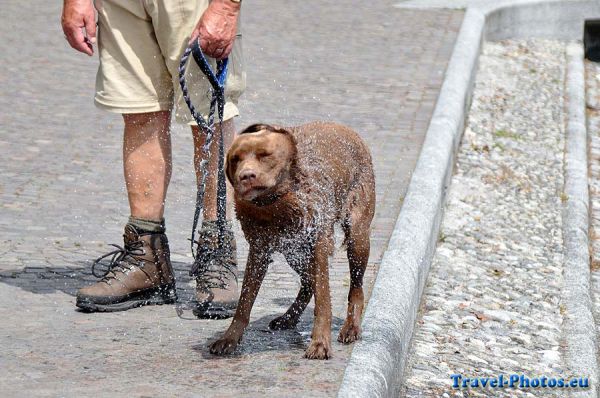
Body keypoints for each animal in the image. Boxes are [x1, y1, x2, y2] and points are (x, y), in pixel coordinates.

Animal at [209, 121, 372, 360]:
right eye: (235, 159)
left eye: (265, 155)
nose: (246, 176)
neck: (275, 205)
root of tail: (346, 128)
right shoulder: (259, 251)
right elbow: (244, 302)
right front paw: (229, 338)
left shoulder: (318, 245)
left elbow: (323, 301)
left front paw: (320, 343)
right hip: (294, 250)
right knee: (307, 283)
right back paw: (288, 318)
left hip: (357, 236)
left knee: (355, 287)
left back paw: (351, 327)